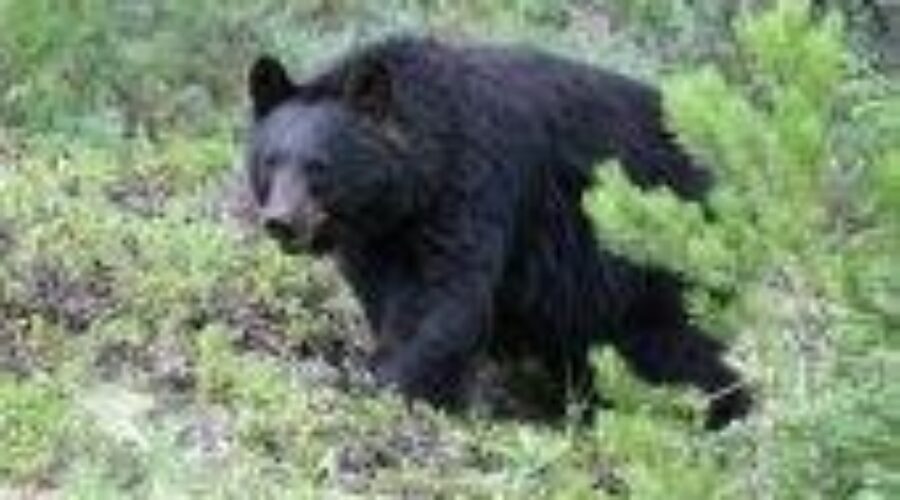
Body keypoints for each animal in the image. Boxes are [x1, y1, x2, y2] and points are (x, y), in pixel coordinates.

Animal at [244, 36, 752, 429]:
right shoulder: (378, 236)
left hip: (668, 265)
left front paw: (387, 384)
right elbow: (390, 300)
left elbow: (447, 295)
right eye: (271, 161)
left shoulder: (477, 184)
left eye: (318, 167)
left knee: (690, 348)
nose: (280, 221)